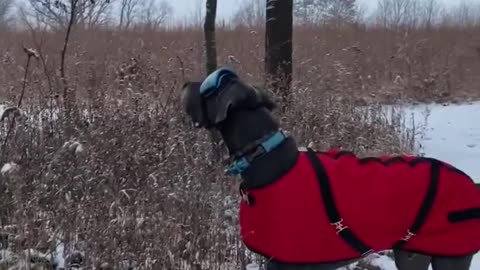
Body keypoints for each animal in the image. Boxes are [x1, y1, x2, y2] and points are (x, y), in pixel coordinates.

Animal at [182, 67, 478, 270]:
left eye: (206, 87)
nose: (185, 83)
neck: (263, 154)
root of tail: (472, 187)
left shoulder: (283, 263)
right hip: (413, 254)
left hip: (443, 256)